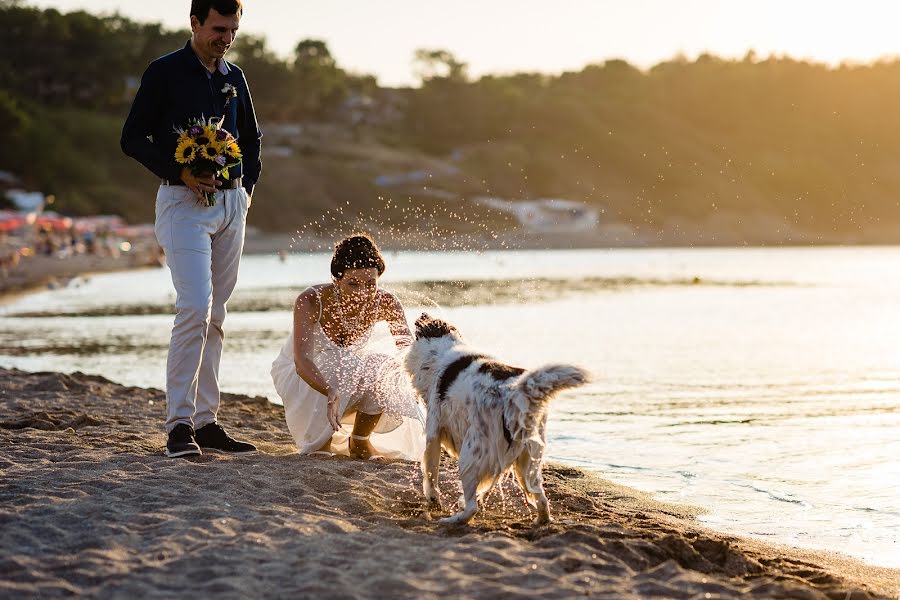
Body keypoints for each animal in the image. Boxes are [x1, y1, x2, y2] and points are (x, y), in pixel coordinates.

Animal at [406, 314, 592, 524]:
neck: (442, 353)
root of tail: (515, 392)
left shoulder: (433, 432)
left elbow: (430, 473)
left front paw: (433, 500)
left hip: (470, 455)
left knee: (472, 508)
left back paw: (452, 519)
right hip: (527, 460)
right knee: (542, 499)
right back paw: (541, 520)